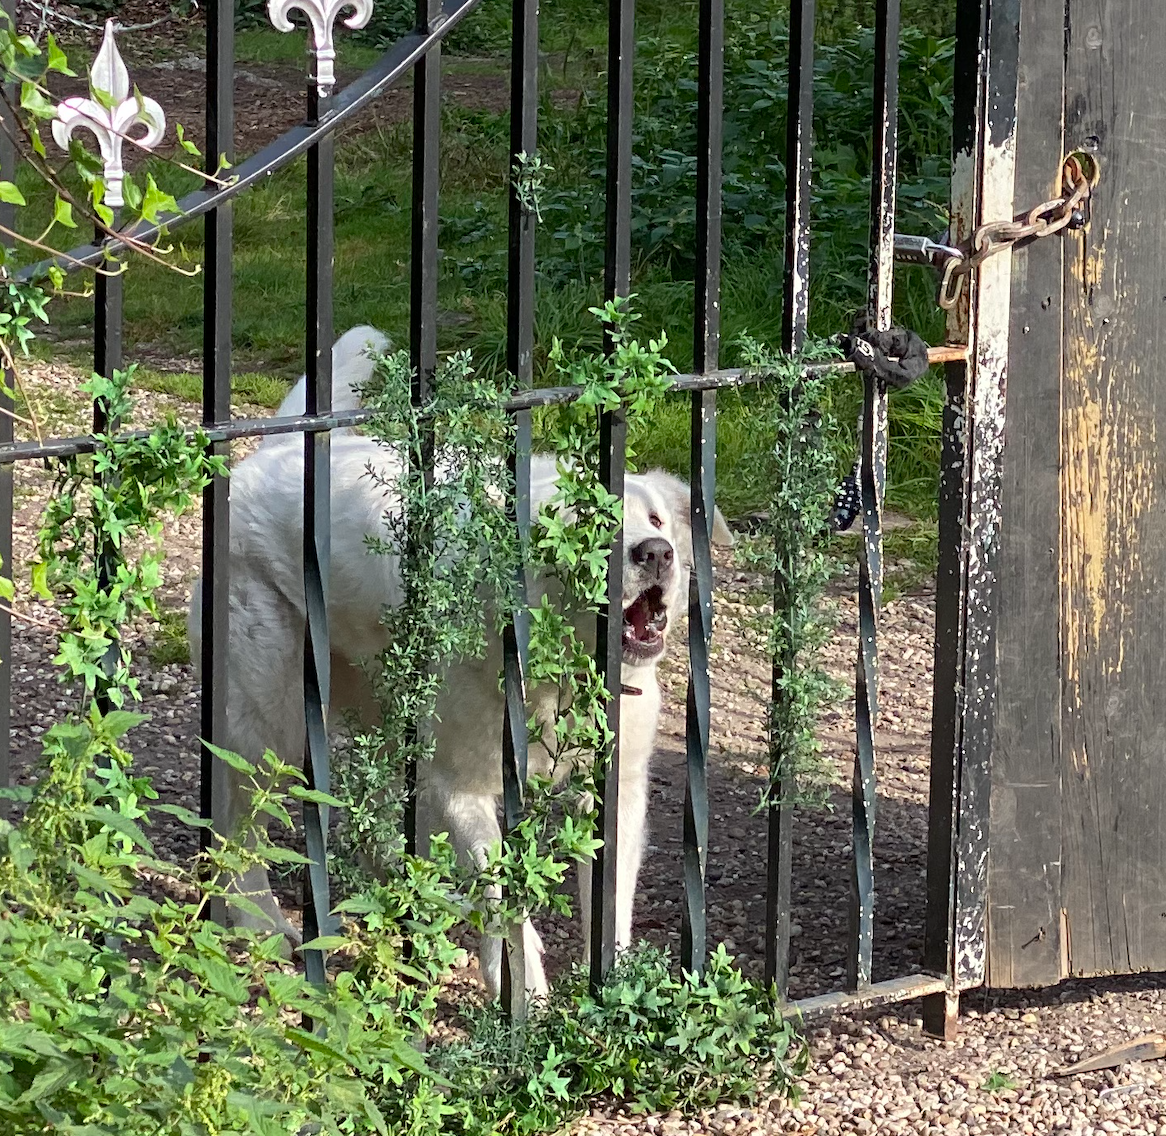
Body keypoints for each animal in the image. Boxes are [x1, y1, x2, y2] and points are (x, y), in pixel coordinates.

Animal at [191, 326, 732, 998]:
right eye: (578, 524)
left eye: (655, 519)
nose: (655, 553)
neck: (554, 678)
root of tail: (273, 453)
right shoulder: (465, 788)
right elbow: (507, 900)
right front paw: (525, 991)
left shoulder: (616, 789)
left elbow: (608, 905)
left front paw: (614, 986)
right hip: (273, 719)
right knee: (239, 823)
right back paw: (260, 922)